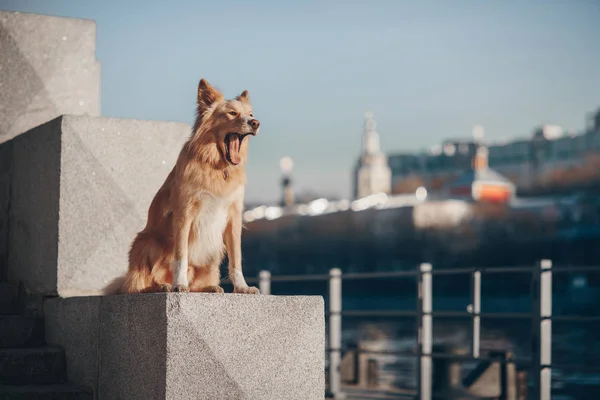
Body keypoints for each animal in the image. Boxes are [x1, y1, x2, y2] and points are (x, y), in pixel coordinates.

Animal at [102, 78, 260, 296]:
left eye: (251, 114)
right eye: (232, 113)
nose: (255, 123)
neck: (216, 166)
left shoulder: (234, 217)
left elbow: (236, 259)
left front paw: (242, 287)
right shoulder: (184, 214)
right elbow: (181, 255)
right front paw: (179, 284)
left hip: (212, 254)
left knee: (197, 284)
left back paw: (208, 287)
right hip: (146, 241)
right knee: (136, 284)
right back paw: (161, 286)